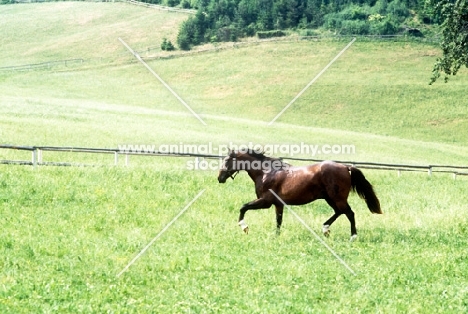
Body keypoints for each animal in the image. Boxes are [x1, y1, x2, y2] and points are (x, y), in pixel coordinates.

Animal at [218, 150, 382, 240]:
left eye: (227, 161)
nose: (220, 178)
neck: (266, 172)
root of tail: (345, 167)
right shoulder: (278, 204)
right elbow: (279, 221)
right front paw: (276, 236)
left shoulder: (265, 202)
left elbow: (243, 207)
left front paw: (244, 227)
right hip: (330, 199)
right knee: (339, 212)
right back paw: (325, 229)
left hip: (337, 198)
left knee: (349, 213)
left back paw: (352, 236)